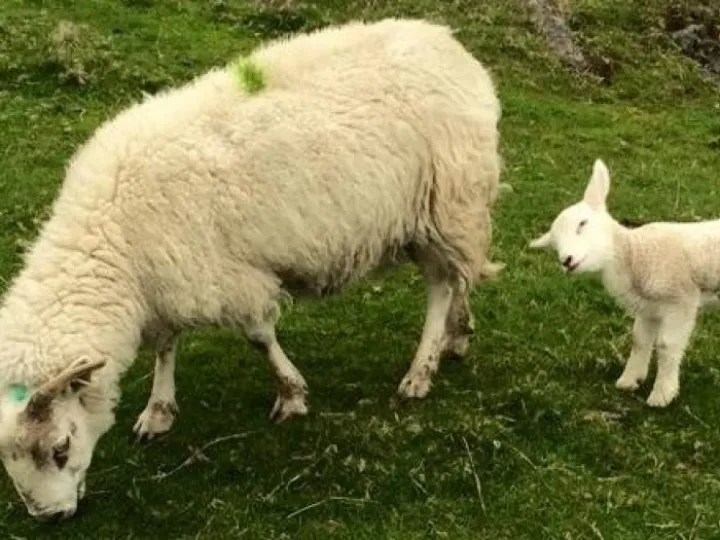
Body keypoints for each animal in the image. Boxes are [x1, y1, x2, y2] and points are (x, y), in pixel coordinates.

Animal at [0, 17, 503, 520]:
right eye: (9, 462)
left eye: (60, 448)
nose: (51, 518)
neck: (112, 240)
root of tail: (449, 44)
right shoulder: (168, 278)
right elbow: (167, 344)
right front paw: (158, 410)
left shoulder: (227, 276)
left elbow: (259, 336)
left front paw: (291, 395)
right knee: (461, 276)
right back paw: (458, 334)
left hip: (446, 199)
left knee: (442, 286)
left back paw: (420, 370)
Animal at [529, 158, 720, 408]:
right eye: (554, 244)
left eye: (582, 223)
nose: (566, 261)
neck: (633, 253)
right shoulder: (649, 307)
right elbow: (639, 340)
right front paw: (630, 380)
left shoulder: (680, 300)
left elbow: (666, 345)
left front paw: (662, 394)